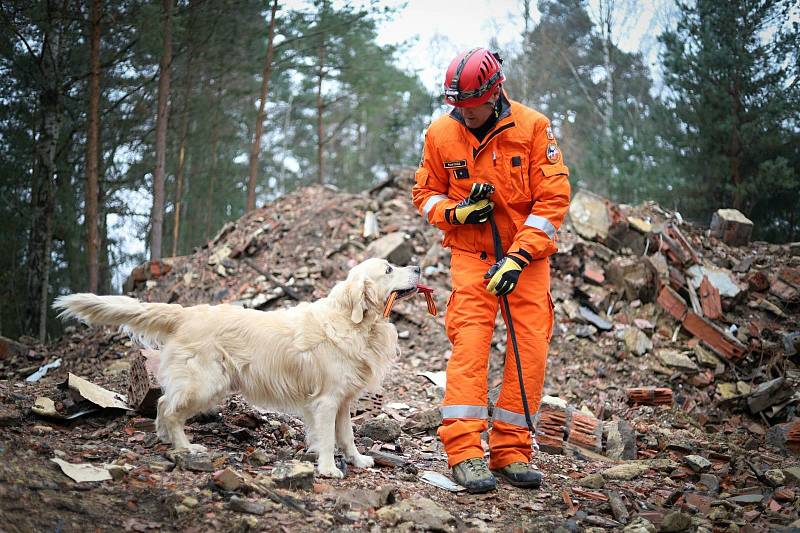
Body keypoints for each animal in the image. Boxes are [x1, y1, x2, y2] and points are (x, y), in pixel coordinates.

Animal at [54, 258, 418, 478]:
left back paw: (166, 439)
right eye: (388, 269)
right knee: (169, 407)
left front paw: (358, 460)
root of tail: (185, 312)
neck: (354, 323)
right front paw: (328, 469)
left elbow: (347, 436)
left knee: (162, 403)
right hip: (206, 382)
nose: (415, 266)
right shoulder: (326, 400)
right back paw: (185, 447)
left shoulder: (342, 401)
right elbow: (328, 438)